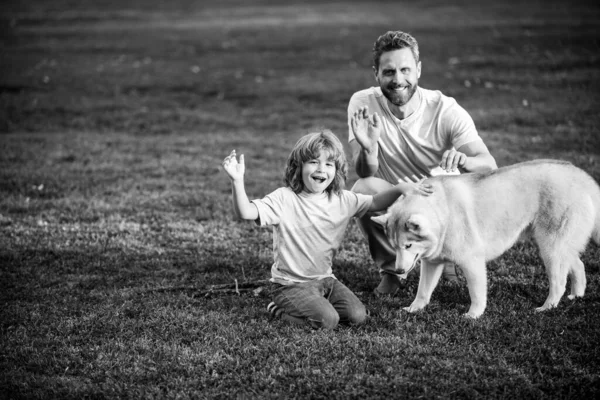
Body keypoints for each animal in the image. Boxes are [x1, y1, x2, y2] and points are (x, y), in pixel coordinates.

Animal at [372, 159, 596, 318]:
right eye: (394, 246)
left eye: (408, 245)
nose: (398, 270)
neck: (443, 212)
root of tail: (583, 175)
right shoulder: (432, 263)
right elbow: (423, 291)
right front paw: (414, 308)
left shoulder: (472, 261)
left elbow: (477, 293)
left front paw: (474, 314)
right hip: (558, 245)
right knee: (578, 264)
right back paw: (576, 295)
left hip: (550, 247)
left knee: (559, 281)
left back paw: (548, 306)